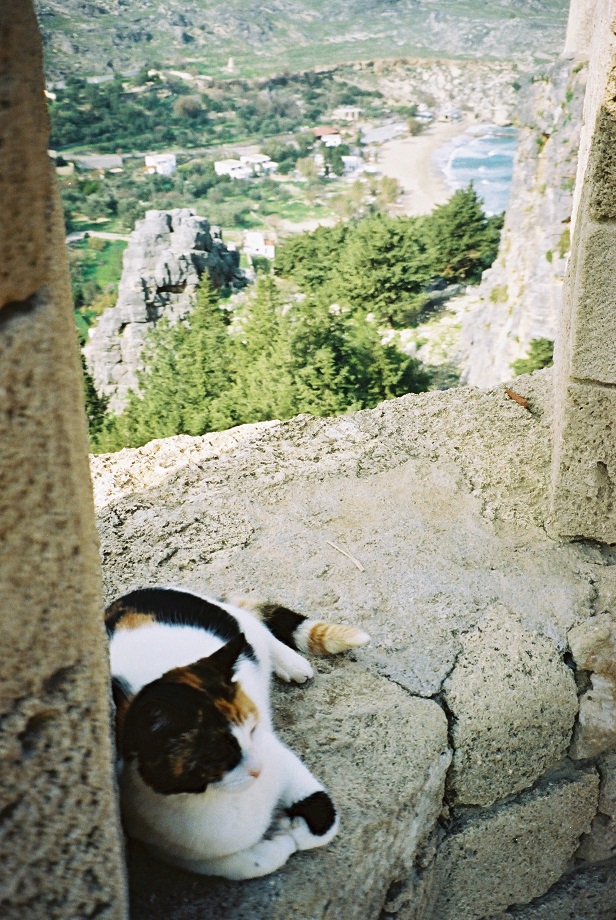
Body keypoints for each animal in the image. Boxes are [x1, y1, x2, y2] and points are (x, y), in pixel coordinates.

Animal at [104, 584, 370, 880]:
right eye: (218, 754)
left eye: (253, 730)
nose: (259, 769)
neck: (224, 798)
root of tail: (132, 595)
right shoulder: (174, 850)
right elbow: (251, 864)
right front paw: (280, 836)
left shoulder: (284, 762)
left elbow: (325, 821)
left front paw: (288, 829)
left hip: (238, 630)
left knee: (258, 630)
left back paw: (290, 663)